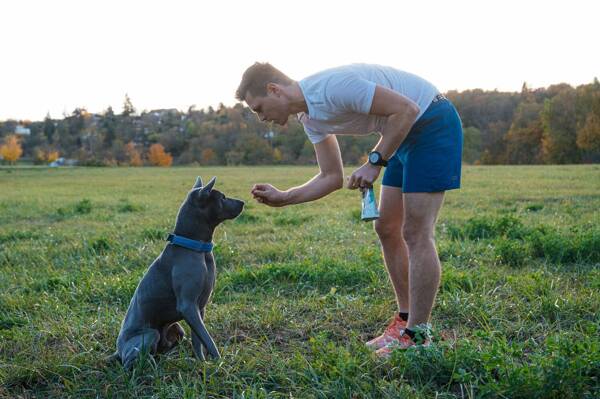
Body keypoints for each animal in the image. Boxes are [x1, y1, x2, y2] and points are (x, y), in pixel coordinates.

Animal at [111, 177, 243, 370]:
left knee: (159, 351)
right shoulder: (188, 306)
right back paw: (149, 365)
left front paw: (202, 363)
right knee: (129, 362)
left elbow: (198, 340)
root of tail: (118, 350)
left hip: (177, 330)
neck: (196, 248)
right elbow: (208, 339)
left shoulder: (199, 308)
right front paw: (220, 362)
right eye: (223, 197)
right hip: (149, 334)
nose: (243, 202)